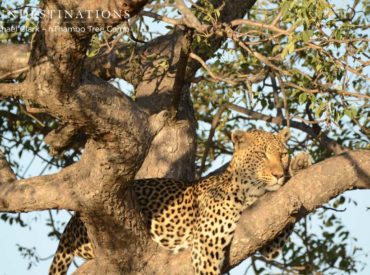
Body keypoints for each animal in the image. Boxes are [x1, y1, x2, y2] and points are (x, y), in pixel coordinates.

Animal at [47, 129, 310, 275]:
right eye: (261, 155)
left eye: (282, 154)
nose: (278, 174)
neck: (251, 192)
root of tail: (71, 224)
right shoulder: (205, 244)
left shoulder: (268, 231)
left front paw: (300, 164)